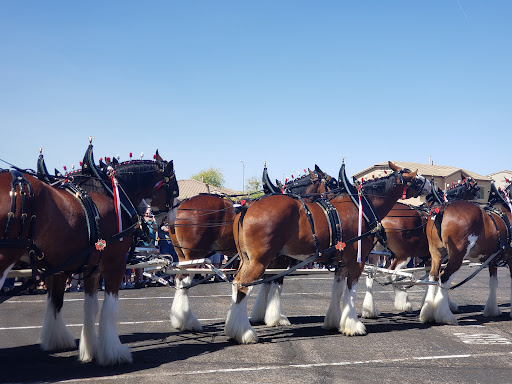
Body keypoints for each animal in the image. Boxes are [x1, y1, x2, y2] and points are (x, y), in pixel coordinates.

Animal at [0, 145, 179, 366]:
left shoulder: (85, 267)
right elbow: (109, 308)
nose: (171, 223)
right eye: (174, 187)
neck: (111, 193)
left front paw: (83, 346)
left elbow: (81, 306)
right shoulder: (114, 264)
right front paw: (113, 352)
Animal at [169, 164, 336, 330]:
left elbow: (267, 282)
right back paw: (188, 322)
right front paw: (277, 318)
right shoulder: (280, 258)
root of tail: (181, 206)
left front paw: (260, 315)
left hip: (183, 255)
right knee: (184, 280)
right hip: (194, 255)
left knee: (179, 279)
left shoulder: (269, 258)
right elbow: (277, 283)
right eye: (333, 182)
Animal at [226, 160, 430, 344]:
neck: (360, 207)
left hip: (247, 260)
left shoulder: (341, 263)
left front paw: (334, 321)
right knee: (243, 286)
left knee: (237, 285)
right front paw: (353, 326)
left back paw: (234, 327)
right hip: (259, 261)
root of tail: (247, 207)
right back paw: (244, 333)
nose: (430, 186)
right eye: (416, 179)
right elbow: (350, 291)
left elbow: (337, 291)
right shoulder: (356, 261)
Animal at [360, 178, 480, 316]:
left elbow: (430, 278)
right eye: (476, 188)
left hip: (376, 253)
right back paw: (404, 302)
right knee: (392, 274)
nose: (479, 196)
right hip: (404, 254)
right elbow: (440, 278)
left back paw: (370, 310)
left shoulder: (430, 258)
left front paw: (426, 303)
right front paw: (447, 304)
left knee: (371, 274)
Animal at [420, 182, 512, 324]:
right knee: (444, 277)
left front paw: (492, 310)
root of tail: (442, 210)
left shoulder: (493, 260)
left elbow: (493, 283)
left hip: (436, 253)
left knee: (433, 276)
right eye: (476, 188)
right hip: (457, 255)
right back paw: (445, 316)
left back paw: (427, 313)